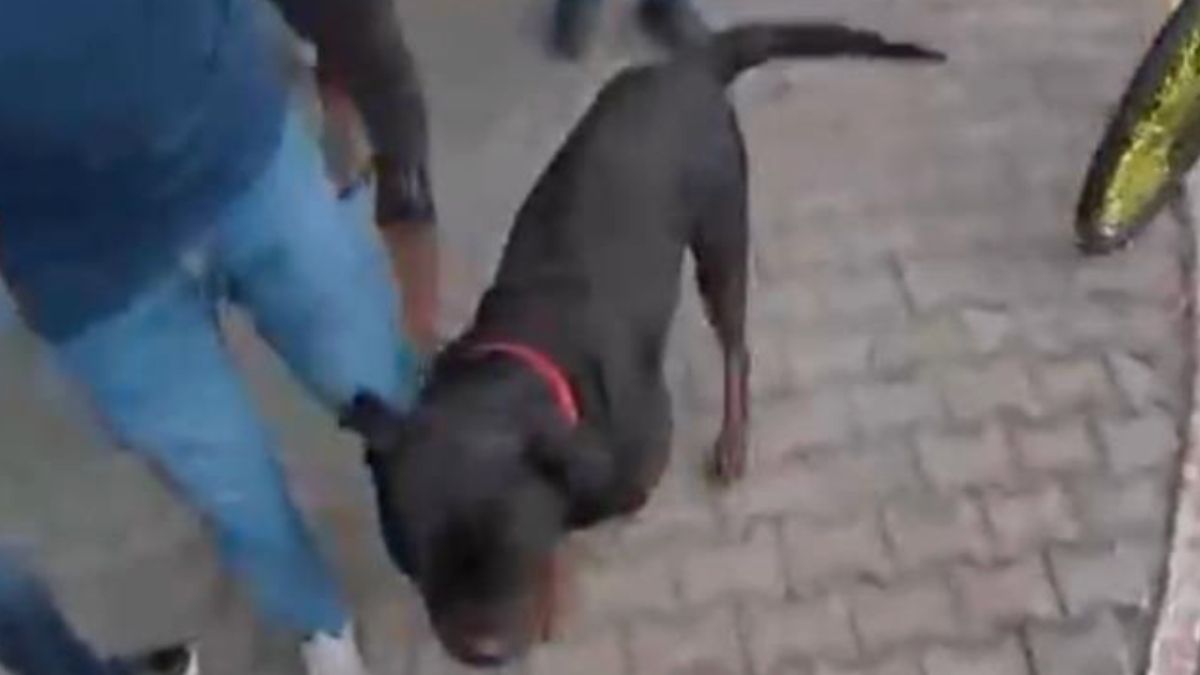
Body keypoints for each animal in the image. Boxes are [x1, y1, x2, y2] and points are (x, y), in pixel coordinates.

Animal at [343, 23, 943, 667]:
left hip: (721, 233)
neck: (525, 363)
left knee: (736, 345)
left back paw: (732, 439)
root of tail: (687, 66)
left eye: (517, 549)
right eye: (420, 561)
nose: (484, 652)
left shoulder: (633, 466)